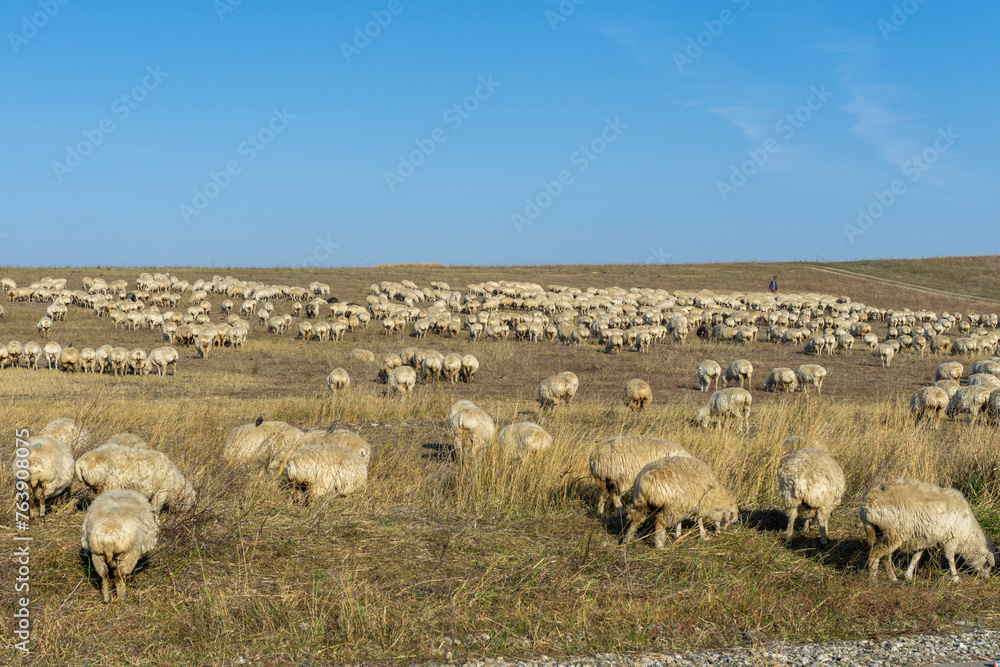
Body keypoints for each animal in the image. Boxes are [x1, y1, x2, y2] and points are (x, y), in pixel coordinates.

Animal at [860, 478, 996, 582]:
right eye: (987, 564)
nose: (987, 579)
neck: (967, 534)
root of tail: (866, 504)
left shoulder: (924, 538)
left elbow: (916, 556)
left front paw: (908, 575)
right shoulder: (951, 538)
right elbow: (950, 558)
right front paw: (955, 578)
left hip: (884, 533)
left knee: (885, 556)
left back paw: (893, 578)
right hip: (894, 533)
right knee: (876, 553)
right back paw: (873, 580)